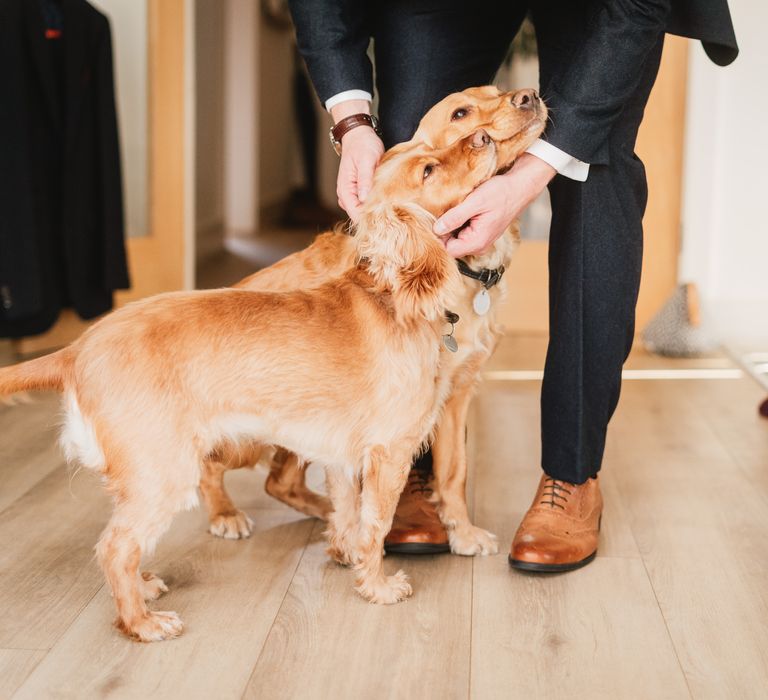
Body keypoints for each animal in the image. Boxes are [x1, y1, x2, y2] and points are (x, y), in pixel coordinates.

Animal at [0, 126, 498, 640]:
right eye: (429, 168)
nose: (484, 137)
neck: (388, 295)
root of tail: (78, 348)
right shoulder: (390, 452)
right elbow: (375, 524)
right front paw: (377, 587)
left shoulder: (340, 456)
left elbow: (347, 514)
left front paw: (346, 556)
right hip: (174, 466)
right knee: (117, 545)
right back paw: (143, 621)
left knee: (126, 539)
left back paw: (145, 585)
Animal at [198, 85, 544, 556]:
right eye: (460, 113)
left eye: (495, 92)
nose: (530, 96)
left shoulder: (455, 395)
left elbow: (454, 470)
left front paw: (462, 531)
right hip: (250, 432)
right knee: (210, 465)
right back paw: (225, 514)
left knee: (280, 481)